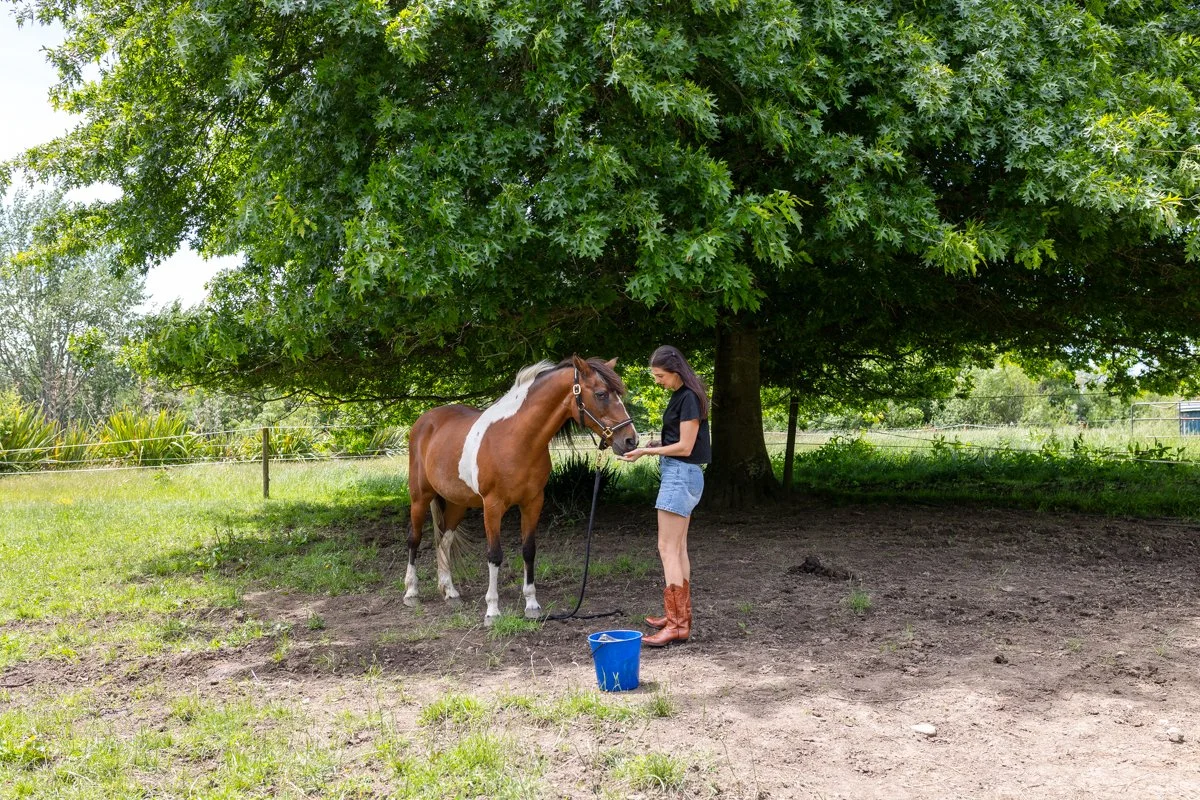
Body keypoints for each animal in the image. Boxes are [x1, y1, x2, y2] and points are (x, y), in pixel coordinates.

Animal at [404, 355, 639, 626]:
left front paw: (532, 605)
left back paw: (450, 592)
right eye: (601, 394)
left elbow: (529, 551)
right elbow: (494, 555)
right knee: (414, 539)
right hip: (420, 498)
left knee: (444, 542)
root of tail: (425, 421)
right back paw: (411, 592)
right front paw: (492, 610)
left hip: (457, 503)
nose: (631, 441)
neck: (516, 439)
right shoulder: (492, 506)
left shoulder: (533, 502)